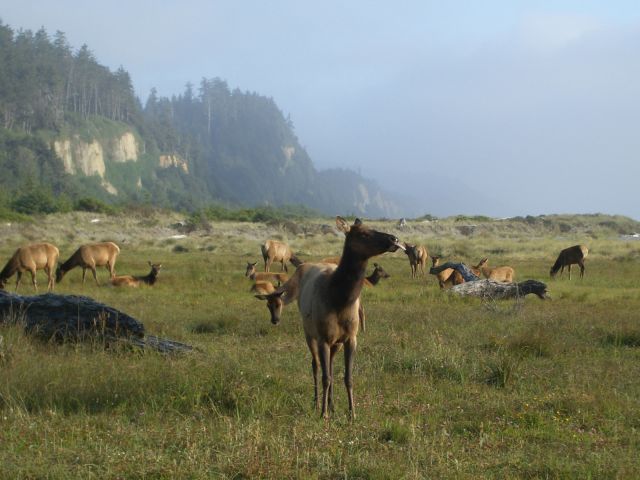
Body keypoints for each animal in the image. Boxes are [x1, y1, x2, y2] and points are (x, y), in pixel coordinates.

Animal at [256, 216, 402, 418]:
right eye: (363, 233)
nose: (394, 239)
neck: (340, 299)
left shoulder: (351, 338)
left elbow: (348, 377)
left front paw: (352, 413)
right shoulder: (323, 337)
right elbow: (326, 377)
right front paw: (323, 414)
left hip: (336, 342)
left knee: (331, 365)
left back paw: (332, 404)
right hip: (309, 333)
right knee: (316, 364)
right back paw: (318, 402)